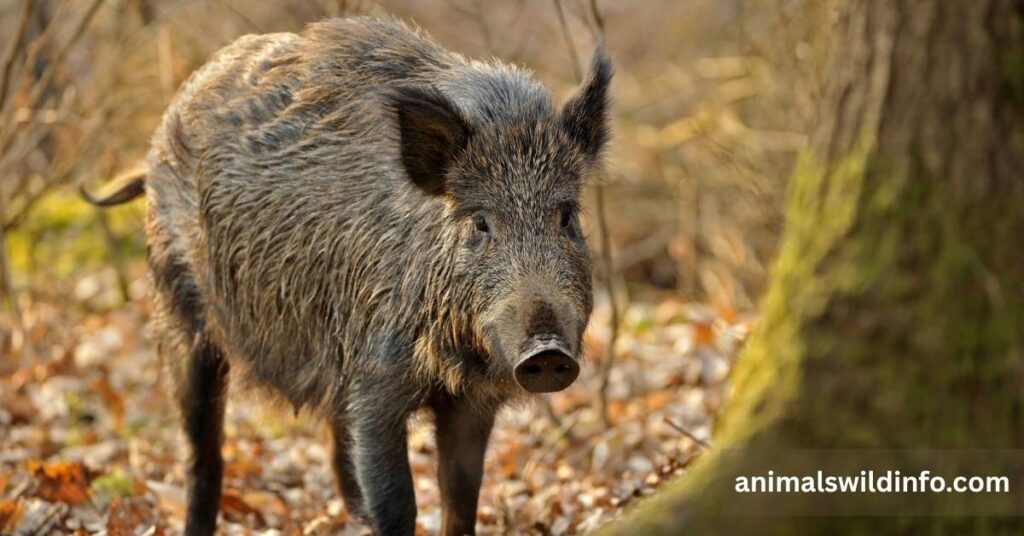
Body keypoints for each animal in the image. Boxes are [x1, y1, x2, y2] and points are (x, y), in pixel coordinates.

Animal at [83, 16, 611, 536]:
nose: (547, 351)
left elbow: (461, 497)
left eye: (567, 217)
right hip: (180, 313)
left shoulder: (469, 403)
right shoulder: (373, 383)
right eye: (481, 222)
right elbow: (397, 503)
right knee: (202, 453)